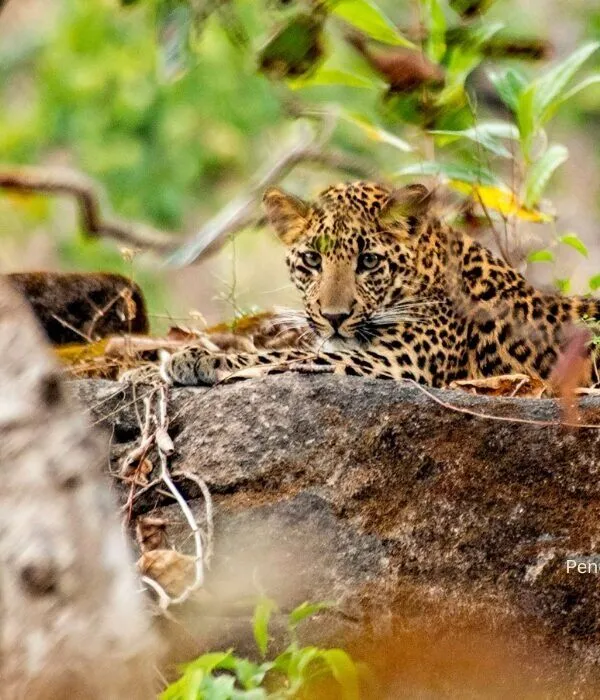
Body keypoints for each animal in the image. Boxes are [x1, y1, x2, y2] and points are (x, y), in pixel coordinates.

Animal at [160, 181, 600, 388]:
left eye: (369, 261)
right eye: (312, 260)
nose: (335, 317)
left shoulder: (391, 362)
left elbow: (282, 356)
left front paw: (196, 358)